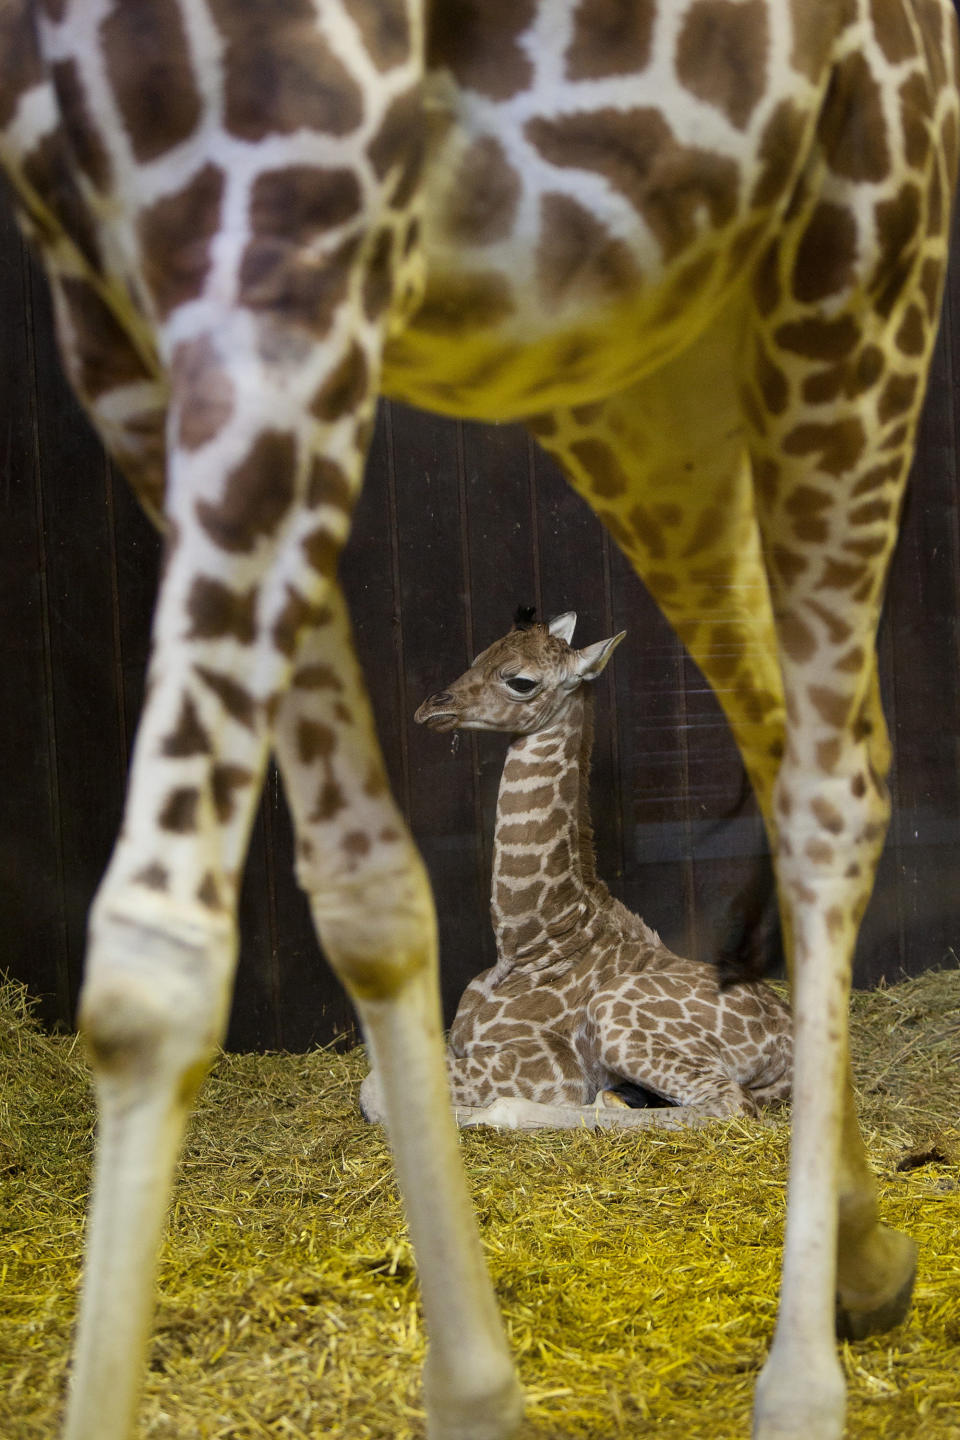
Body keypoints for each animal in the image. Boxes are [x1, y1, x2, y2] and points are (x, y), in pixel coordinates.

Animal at [364, 613, 794, 1128]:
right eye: (477, 656)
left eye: (521, 681)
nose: (431, 707)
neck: (527, 944)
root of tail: (789, 1046)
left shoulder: (549, 1065)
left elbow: (374, 1090)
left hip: (614, 1016)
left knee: (728, 1103)